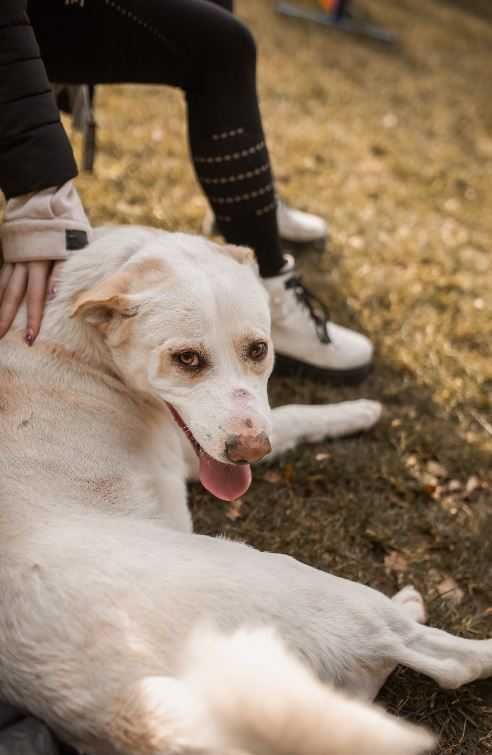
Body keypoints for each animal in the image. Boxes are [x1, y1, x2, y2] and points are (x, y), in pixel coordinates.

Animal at [0, 227, 490, 755]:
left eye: (258, 349)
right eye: (186, 359)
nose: (250, 451)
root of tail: (132, 707)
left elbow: (290, 417)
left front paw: (358, 410)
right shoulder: (195, 450)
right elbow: (290, 418)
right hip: (308, 587)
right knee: (443, 659)